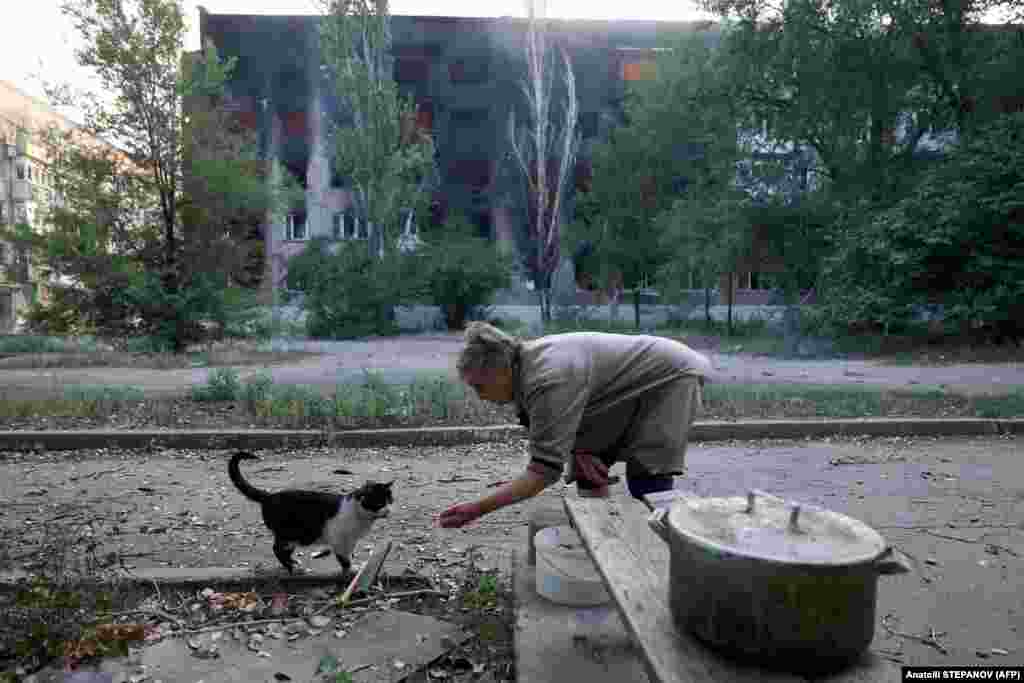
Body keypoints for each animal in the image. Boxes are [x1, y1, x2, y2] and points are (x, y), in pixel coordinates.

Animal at [228, 454, 391, 577]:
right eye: (380, 503)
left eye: (391, 500)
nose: (389, 510)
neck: (361, 517)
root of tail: (269, 496)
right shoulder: (339, 540)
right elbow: (344, 558)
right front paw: (350, 569)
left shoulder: (351, 541)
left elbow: (349, 554)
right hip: (290, 534)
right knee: (277, 549)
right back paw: (292, 568)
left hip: (294, 537)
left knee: (283, 551)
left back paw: (293, 563)